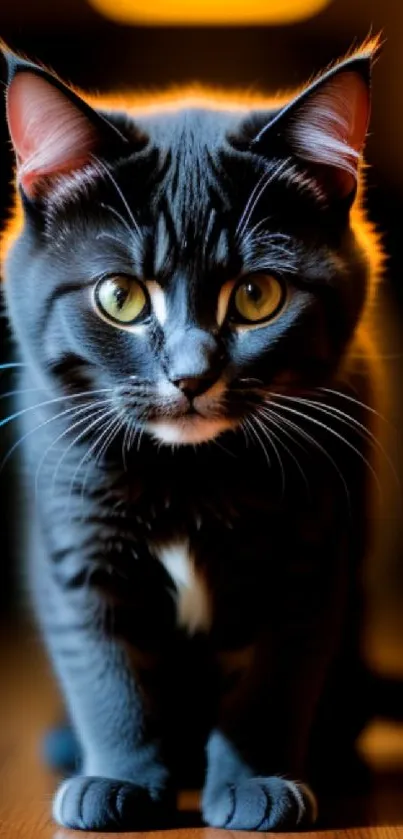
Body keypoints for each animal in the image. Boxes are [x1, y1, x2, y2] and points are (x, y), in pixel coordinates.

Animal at [0, 39, 386, 832]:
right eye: (119, 297)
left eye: (257, 295)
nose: (190, 374)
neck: (190, 473)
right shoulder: (78, 529)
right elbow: (107, 668)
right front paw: (118, 778)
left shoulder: (309, 541)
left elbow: (274, 673)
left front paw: (257, 781)